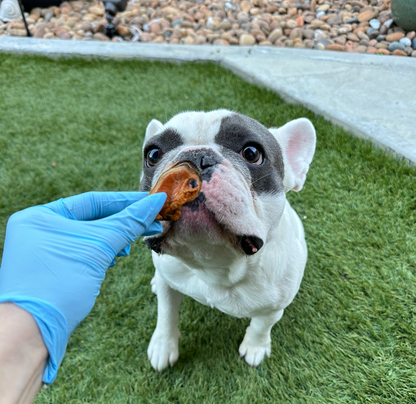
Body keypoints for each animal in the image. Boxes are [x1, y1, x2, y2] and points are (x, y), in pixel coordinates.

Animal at [140, 109, 316, 370]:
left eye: (252, 153)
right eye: (152, 155)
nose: (196, 156)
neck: (213, 263)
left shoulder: (274, 307)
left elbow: (261, 326)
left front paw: (255, 347)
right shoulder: (168, 282)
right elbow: (166, 313)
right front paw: (163, 345)